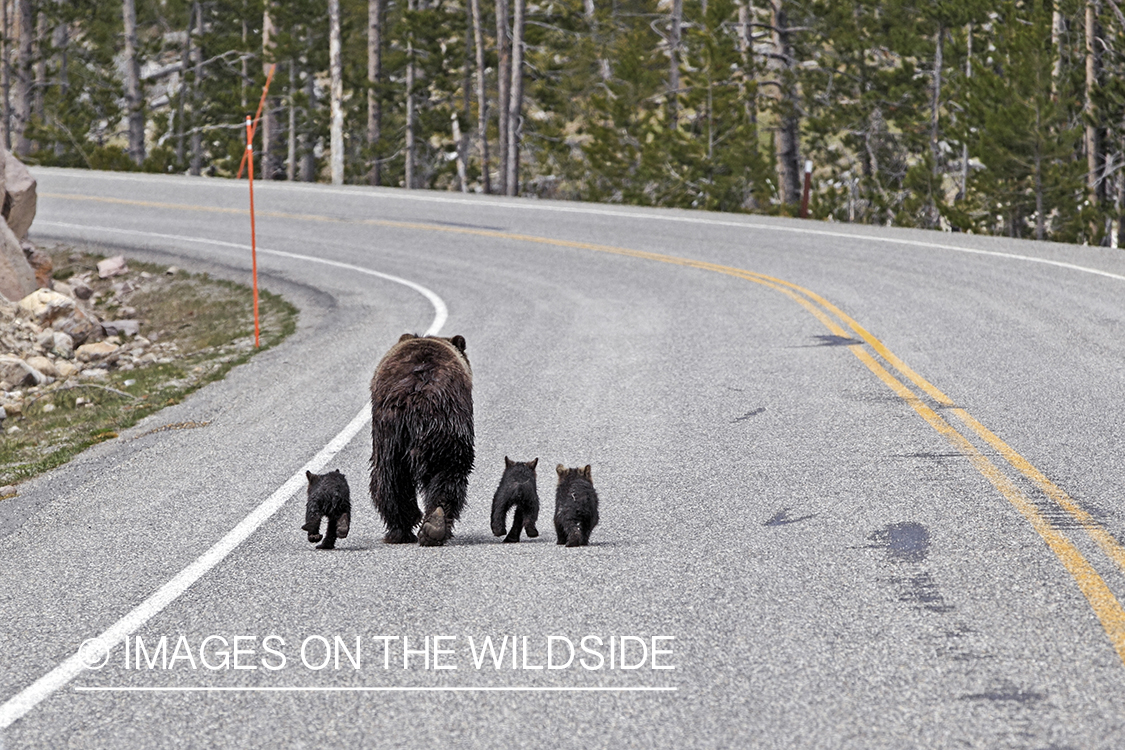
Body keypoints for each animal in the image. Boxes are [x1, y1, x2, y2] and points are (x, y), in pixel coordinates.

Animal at [371, 335, 472, 546]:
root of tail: (417, 390)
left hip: (395, 432)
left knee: (391, 477)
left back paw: (409, 529)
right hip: (441, 428)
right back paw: (431, 526)